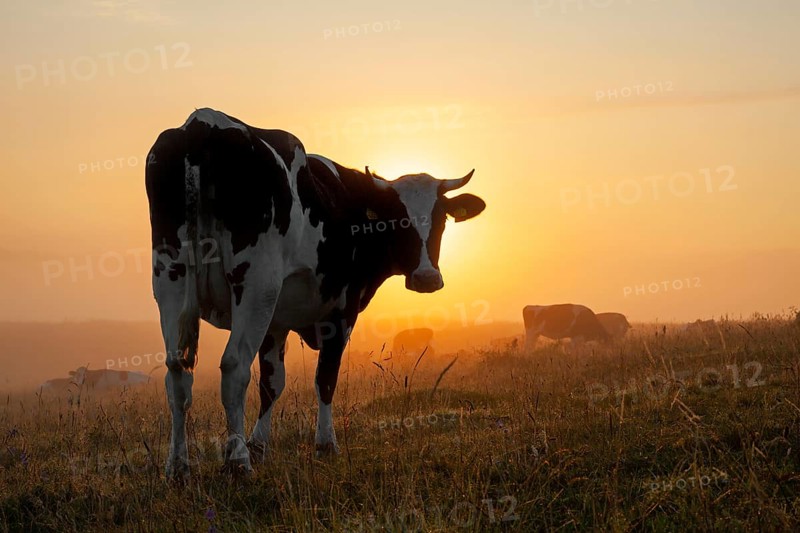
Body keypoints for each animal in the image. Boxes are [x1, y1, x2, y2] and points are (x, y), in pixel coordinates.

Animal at [146, 108, 485, 478]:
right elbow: (325, 378)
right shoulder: (341, 310)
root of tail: (205, 123)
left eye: (440, 219)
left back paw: (178, 467)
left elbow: (272, 384)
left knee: (177, 371)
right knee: (234, 366)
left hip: (171, 276)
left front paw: (260, 445)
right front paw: (324, 444)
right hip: (255, 284)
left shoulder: (276, 321)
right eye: (398, 219)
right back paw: (237, 462)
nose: (426, 278)